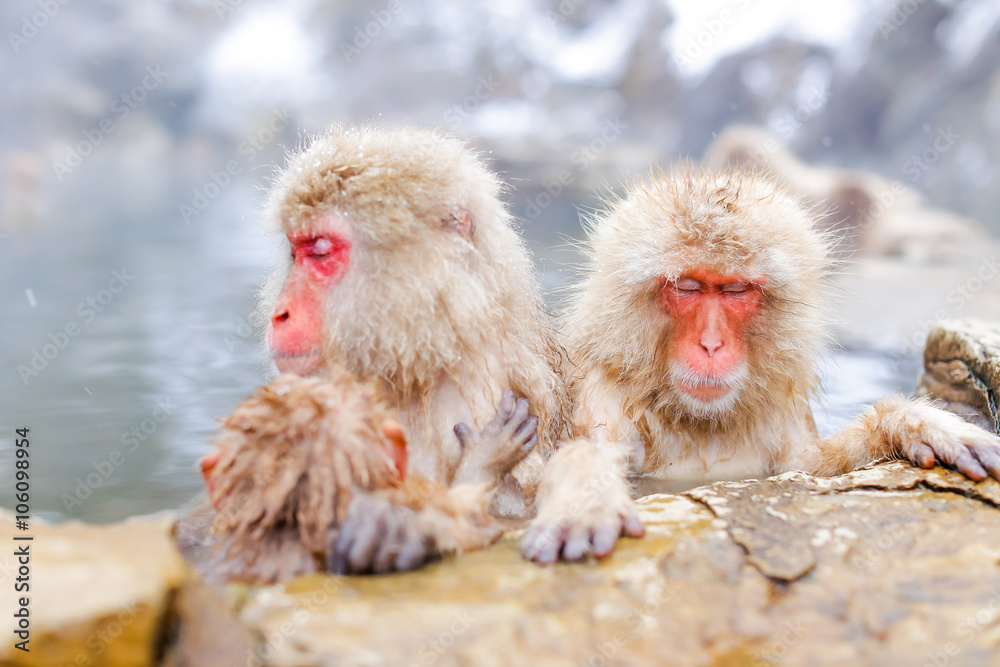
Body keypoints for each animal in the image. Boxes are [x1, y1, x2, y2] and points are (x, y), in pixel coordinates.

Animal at [521, 167, 1000, 564]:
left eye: (736, 290)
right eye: (688, 286)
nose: (711, 344)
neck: (699, 423)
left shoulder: (784, 416)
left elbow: (810, 468)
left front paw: (917, 423)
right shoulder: (602, 396)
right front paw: (585, 491)